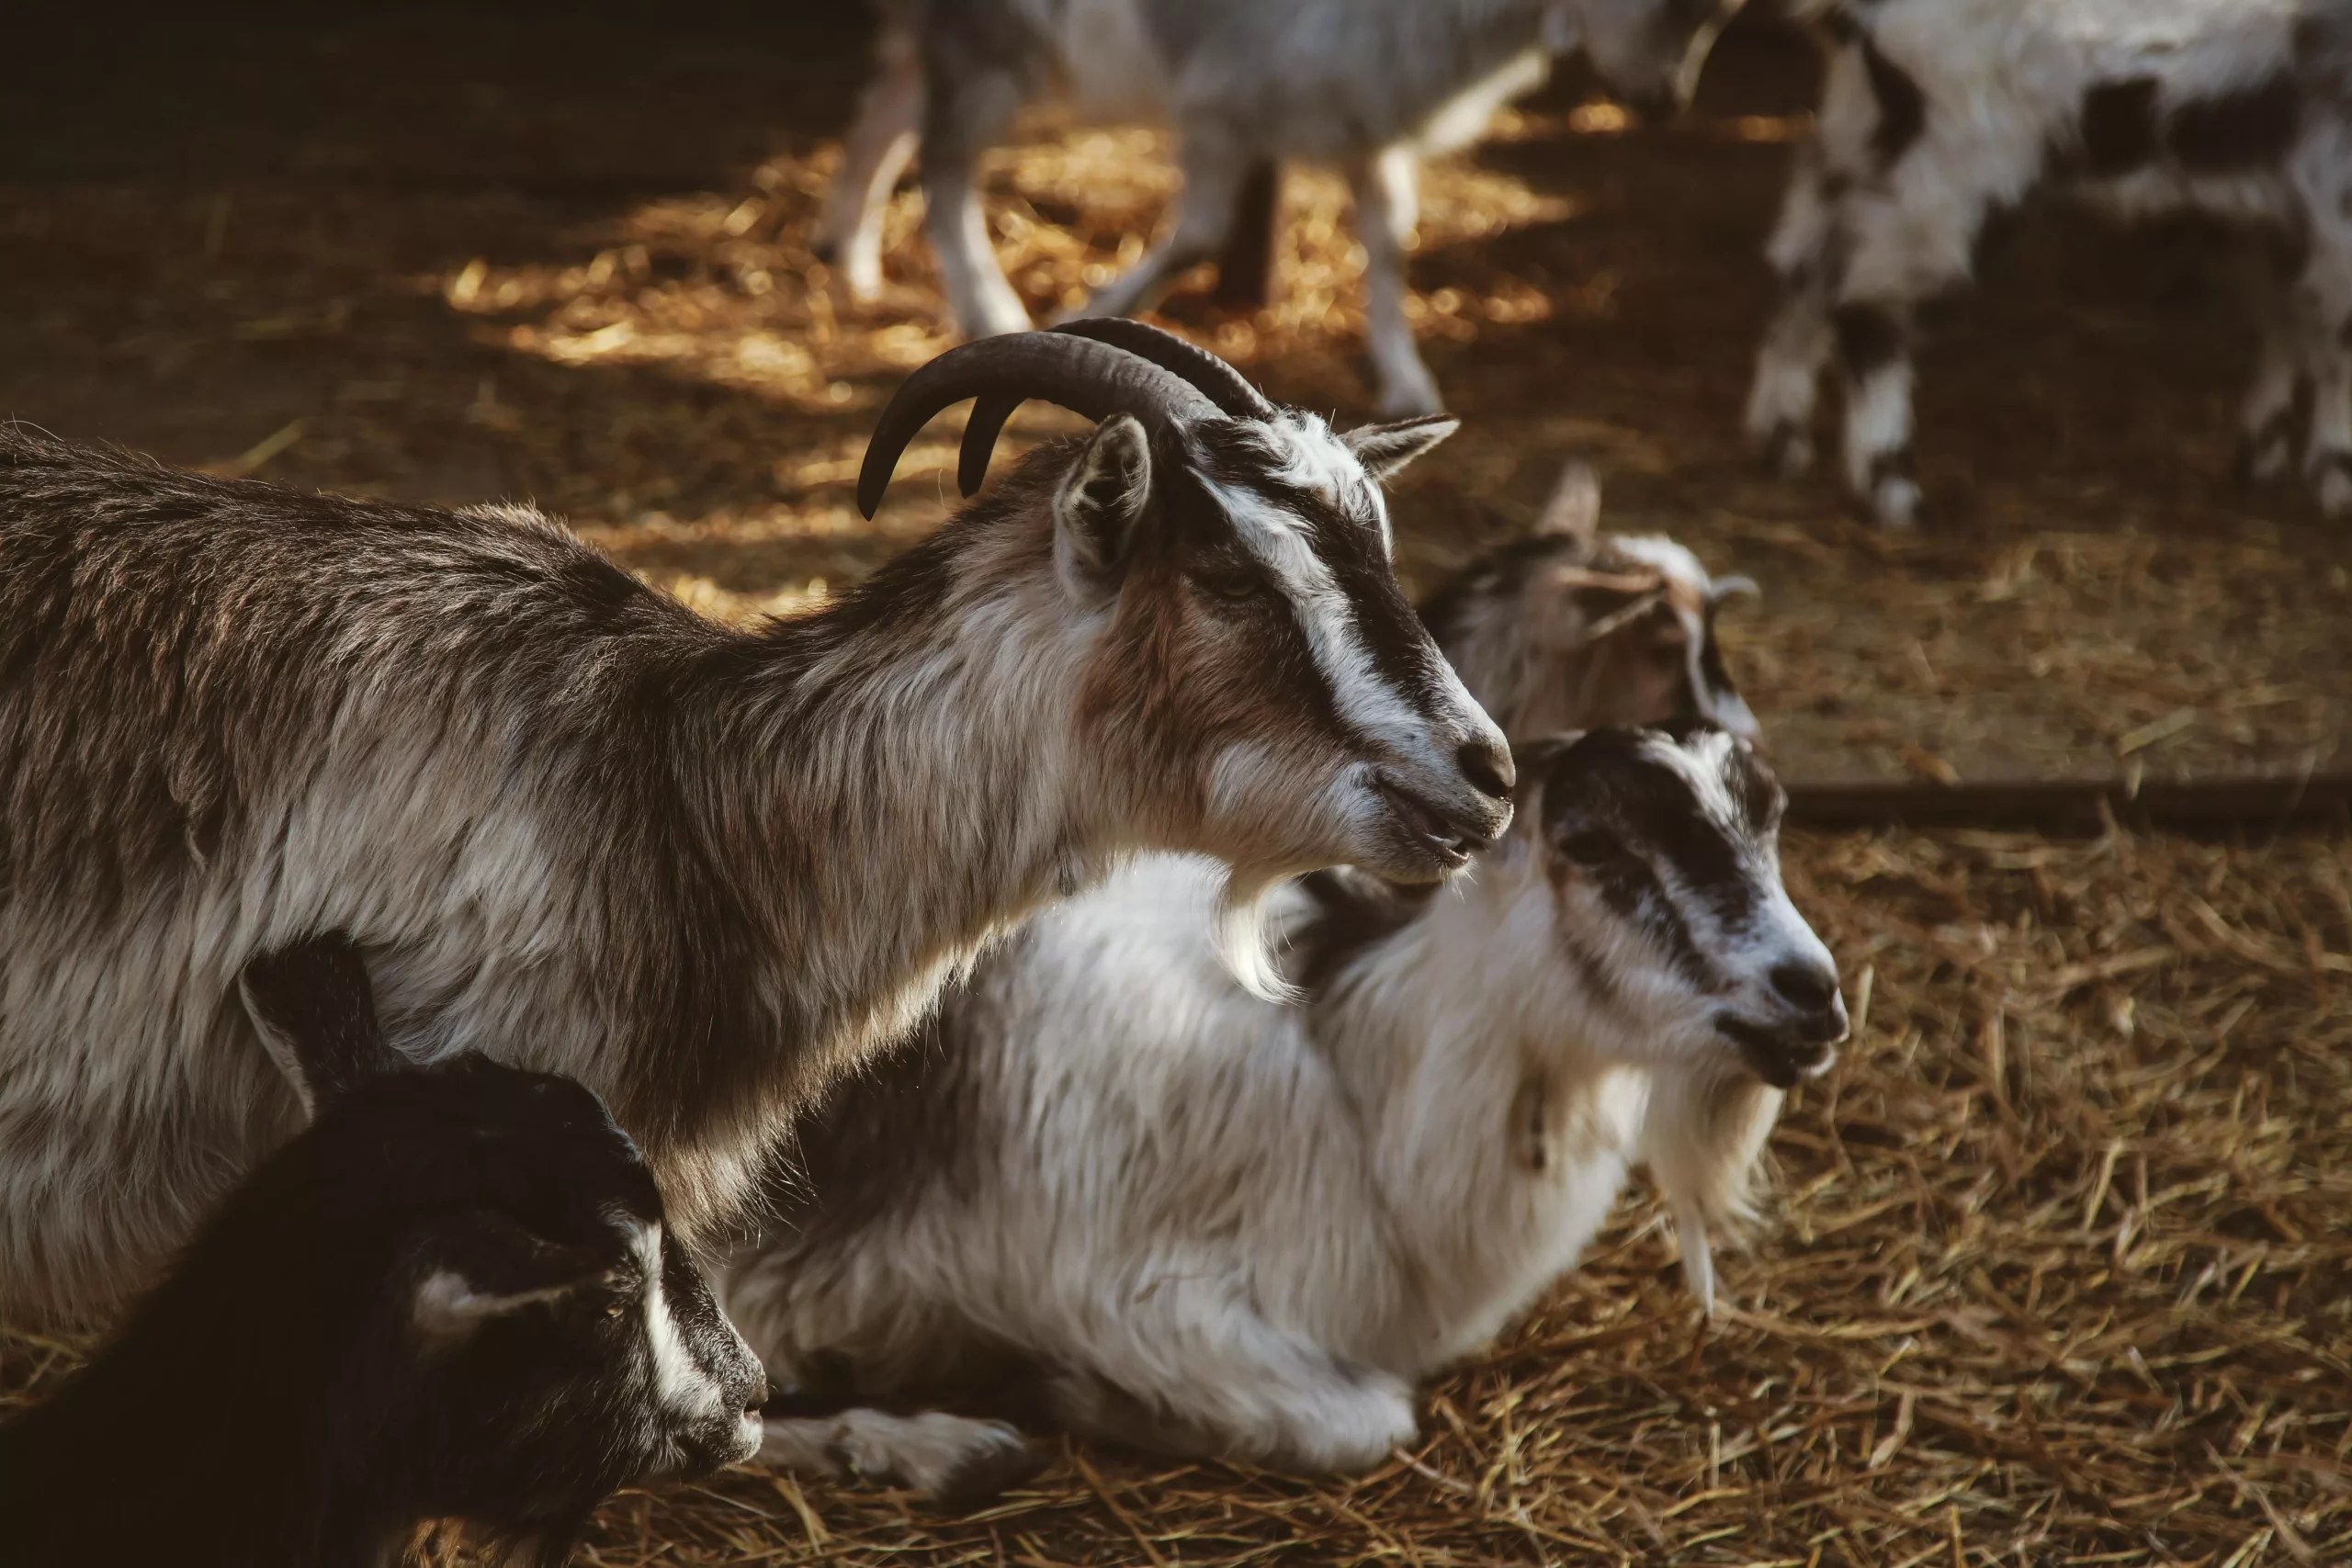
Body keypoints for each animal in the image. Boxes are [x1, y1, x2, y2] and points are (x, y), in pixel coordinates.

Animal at [727, 726, 1844, 1495]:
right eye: (1594, 845)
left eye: (1770, 827)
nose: (1811, 996)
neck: (1350, 1082)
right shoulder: (1131, 1295)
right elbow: (1365, 1422)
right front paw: (1074, 1397)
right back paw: (937, 1446)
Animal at [815, 0, 1749, 417]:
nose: (1663, 103)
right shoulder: (1231, 94)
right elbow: (1200, 233)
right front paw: (1088, 310)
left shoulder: (1364, 103)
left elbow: (1390, 235)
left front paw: (1407, 379)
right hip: (991, 36)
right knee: (943, 163)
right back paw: (986, 304)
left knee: (886, 111)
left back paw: (847, 255)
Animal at [1745, 0, 2352, 527]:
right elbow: (2332, 340)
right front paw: (2334, 480)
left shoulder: (2288, 213)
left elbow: (2295, 323)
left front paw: (2267, 458)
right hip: (1948, 175)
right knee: (1867, 307)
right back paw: (1892, 489)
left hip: (1853, 144)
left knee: (1803, 272)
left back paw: (1780, 442)